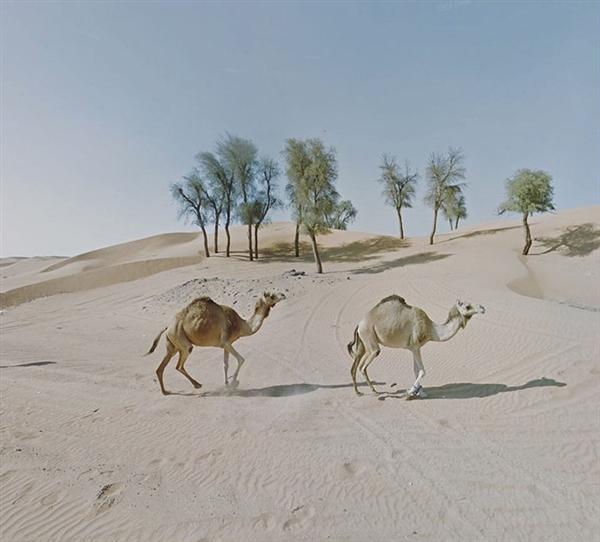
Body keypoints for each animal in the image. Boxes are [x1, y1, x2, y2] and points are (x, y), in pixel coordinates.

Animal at [146, 294, 286, 396]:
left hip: (173, 346)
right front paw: (234, 382)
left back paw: (165, 392)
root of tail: (167, 327)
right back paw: (197, 385)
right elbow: (241, 359)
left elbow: (225, 364)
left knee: (161, 368)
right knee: (179, 365)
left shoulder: (225, 345)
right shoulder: (226, 342)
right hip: (182, 341)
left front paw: (227, 383)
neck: (241, 325)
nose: (283, 295)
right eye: (272, 295)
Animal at [346, 298, 482, 400]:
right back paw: (375, 392)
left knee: (354, 366)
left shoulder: (413, 348)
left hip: (362, 343)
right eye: (468, 306)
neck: (431, 329)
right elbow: (422, 371)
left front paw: (420, 392)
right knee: (363, 366)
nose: (482, 308)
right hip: (370, 338)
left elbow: (416, 371)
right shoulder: (416, 346)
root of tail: (359, 324)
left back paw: (358, 392)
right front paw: (411, 392)